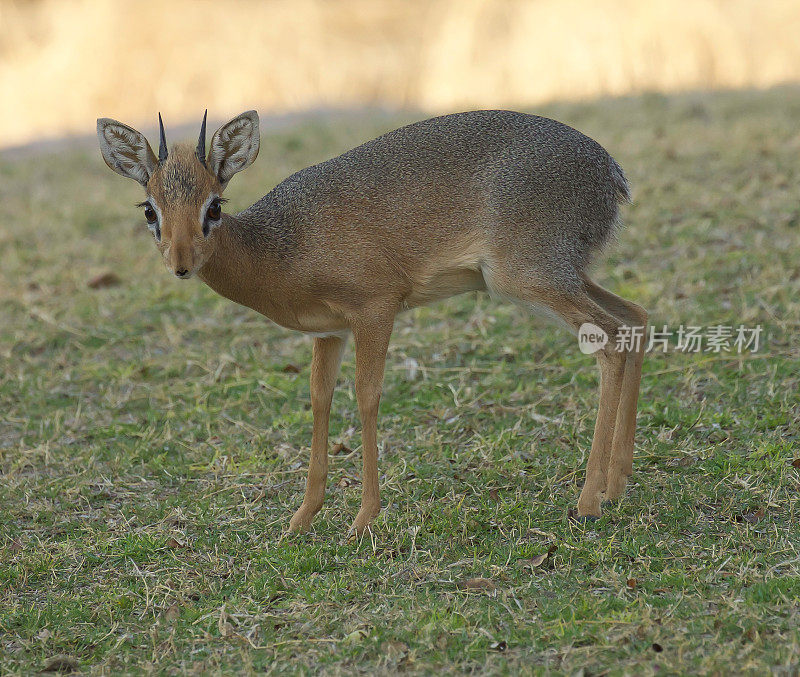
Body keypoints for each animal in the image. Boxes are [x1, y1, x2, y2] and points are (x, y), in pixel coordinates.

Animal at [97, 109, 648, 532]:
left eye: (213, 206)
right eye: (150, 210)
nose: (181, 264)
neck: (281, 248)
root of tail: (613, 174)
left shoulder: (375, 310)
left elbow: (367, 398)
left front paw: (363, 518)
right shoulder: (329, 331)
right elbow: (319, 400)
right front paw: (302, 517)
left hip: (530, 278)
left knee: (610, 338)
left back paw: (588, 502)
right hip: (562, 275)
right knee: (636, 318)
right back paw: (617, 485)